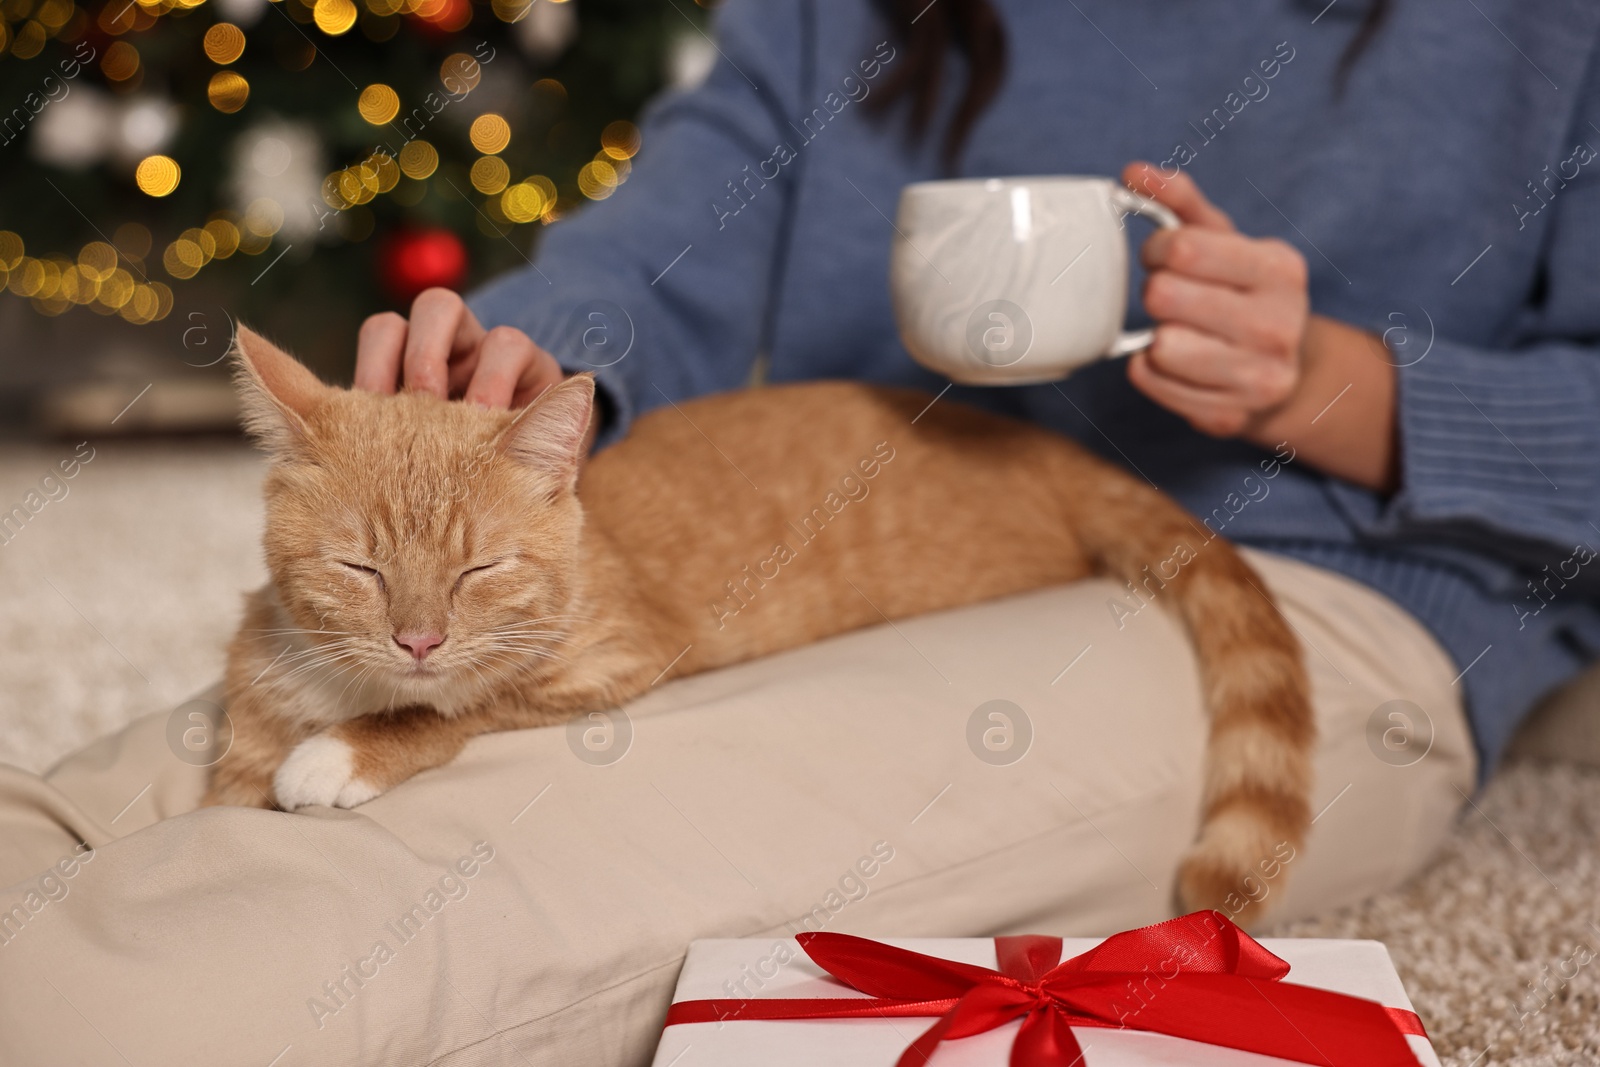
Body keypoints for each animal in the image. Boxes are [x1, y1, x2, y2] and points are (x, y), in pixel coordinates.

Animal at [209, 327, 1312, 921]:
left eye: (479, 570)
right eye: (360, 568)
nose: (420, 640)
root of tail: (1050, 452)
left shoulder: (623, 659)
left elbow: (464, 705)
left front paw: (347, 751)